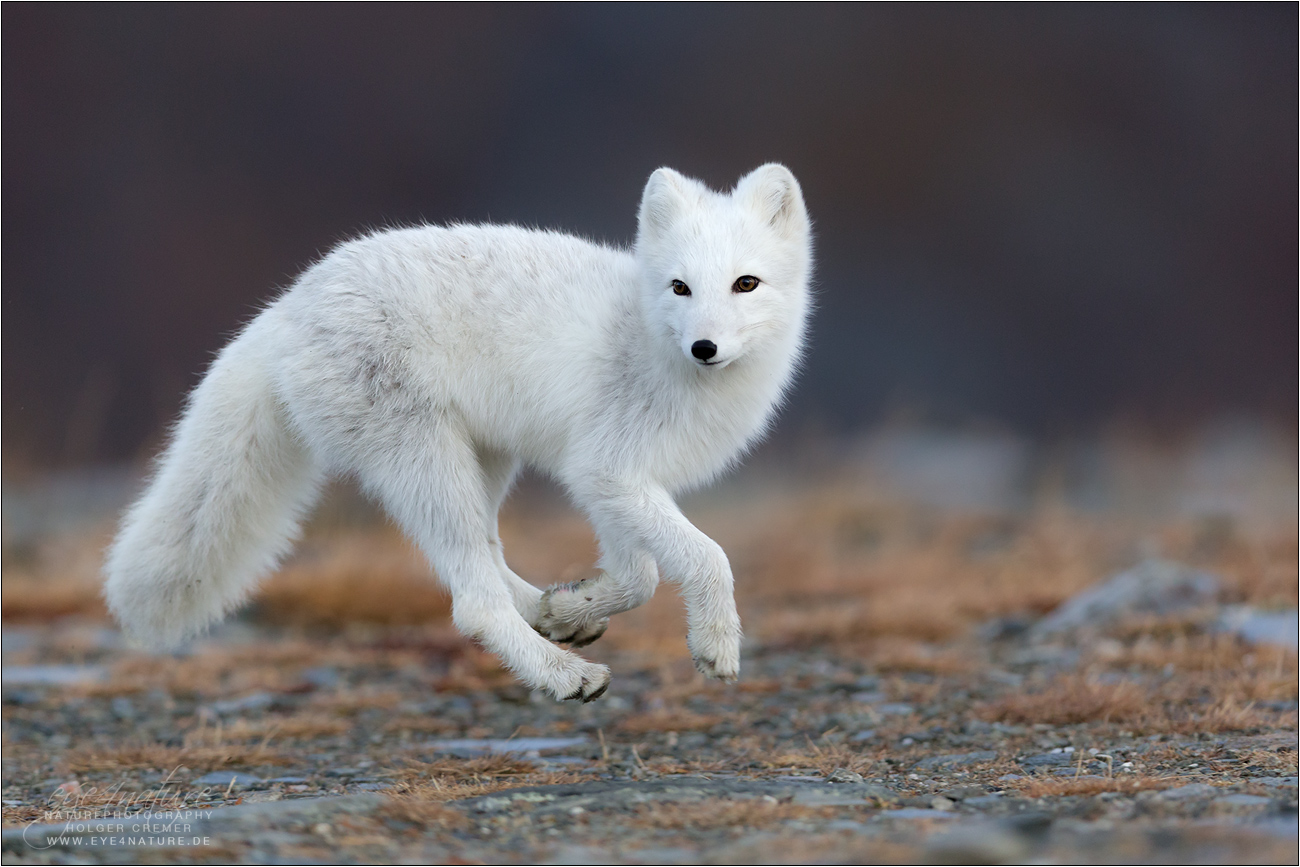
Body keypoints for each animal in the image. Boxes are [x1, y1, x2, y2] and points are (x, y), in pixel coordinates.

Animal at [104, 162, 811, 701]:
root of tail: (291, 303)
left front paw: (574, 606)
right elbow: (703, 558)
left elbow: (638, 574)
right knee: (472, 600)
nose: (704, 347)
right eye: (680, 287)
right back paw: (562, 674)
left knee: (487, 560)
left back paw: (546, 612)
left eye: (745, 283)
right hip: (427, 461)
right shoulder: (606, 468)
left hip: (486, 463)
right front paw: (715, 644)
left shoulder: (613, 480)